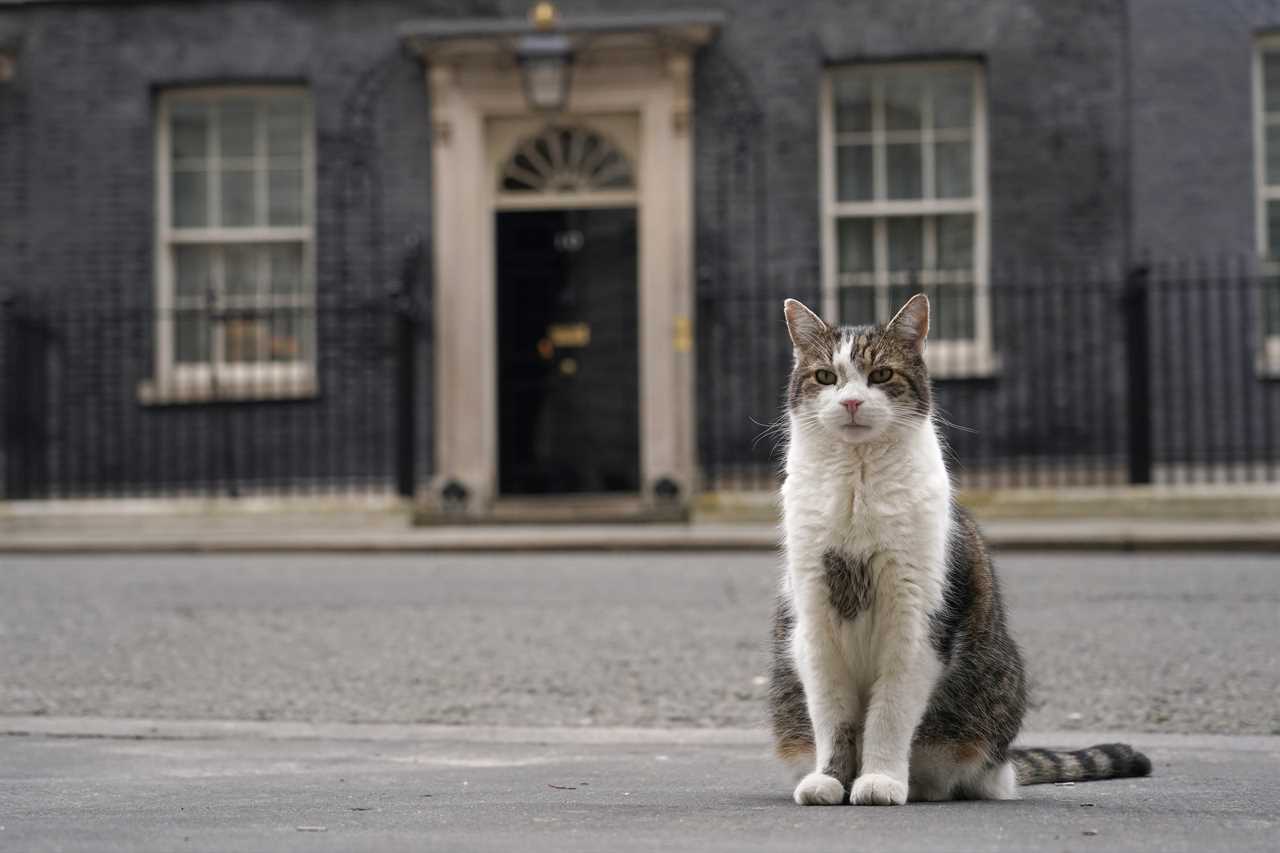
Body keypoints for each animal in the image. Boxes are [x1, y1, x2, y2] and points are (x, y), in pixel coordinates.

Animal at [768, 294, 1152, 804]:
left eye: (881, 375)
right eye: (826, 377)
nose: (850, 402)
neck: (857, 483)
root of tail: (1005, 764)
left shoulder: (916, 622)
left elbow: (889, 714)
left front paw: (880, 779)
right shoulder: (815, 621)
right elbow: (833, 716)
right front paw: (830, 779)